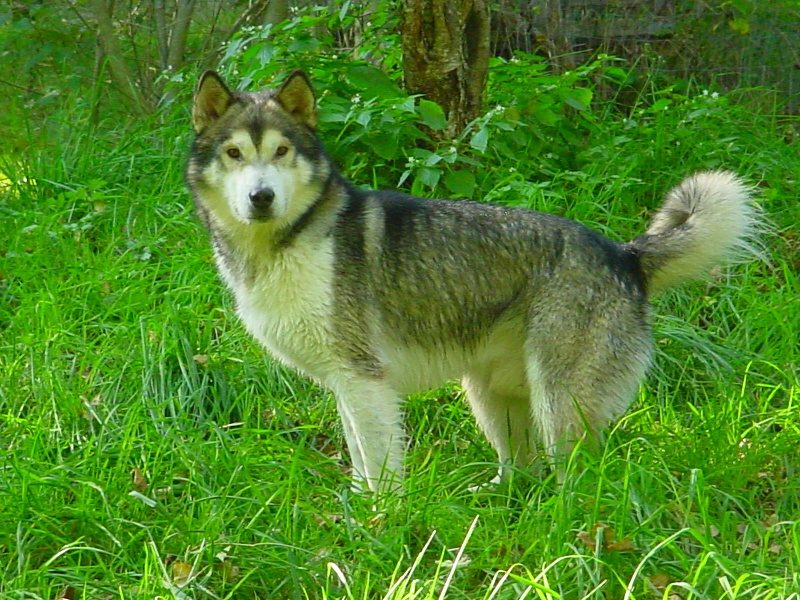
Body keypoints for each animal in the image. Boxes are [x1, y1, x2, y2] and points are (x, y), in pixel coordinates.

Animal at [184, 70, 760, 492]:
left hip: (559, 403)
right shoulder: (348, 385)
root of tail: (624, 255)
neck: (288, 241)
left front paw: (377, 526)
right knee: (521, 470)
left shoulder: (364, 380)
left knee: (576, 477)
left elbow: (379, 472)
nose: (261, 197)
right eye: (234, 154)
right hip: (490, 398)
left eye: (281, 152)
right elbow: (360, 463)